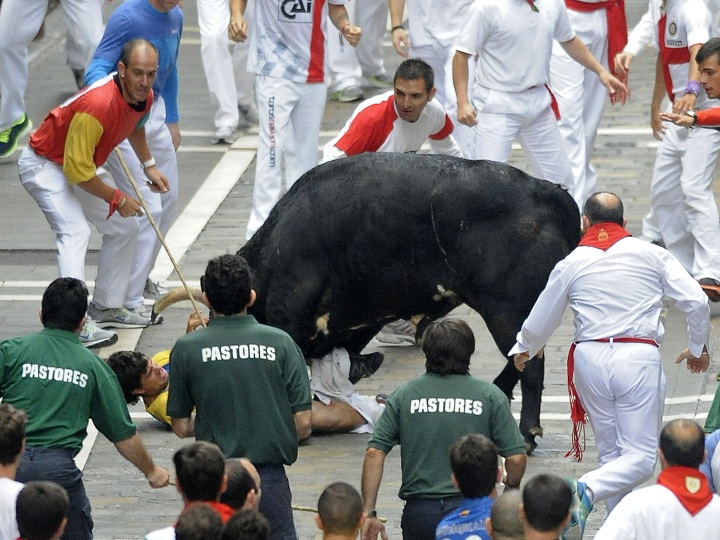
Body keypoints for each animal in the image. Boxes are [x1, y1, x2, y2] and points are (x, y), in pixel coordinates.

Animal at [239, 152, 584, 448]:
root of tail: (548, 192)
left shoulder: (290, 313)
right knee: (523, 359)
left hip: (507, 311)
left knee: (529, 363)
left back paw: (527, 433)